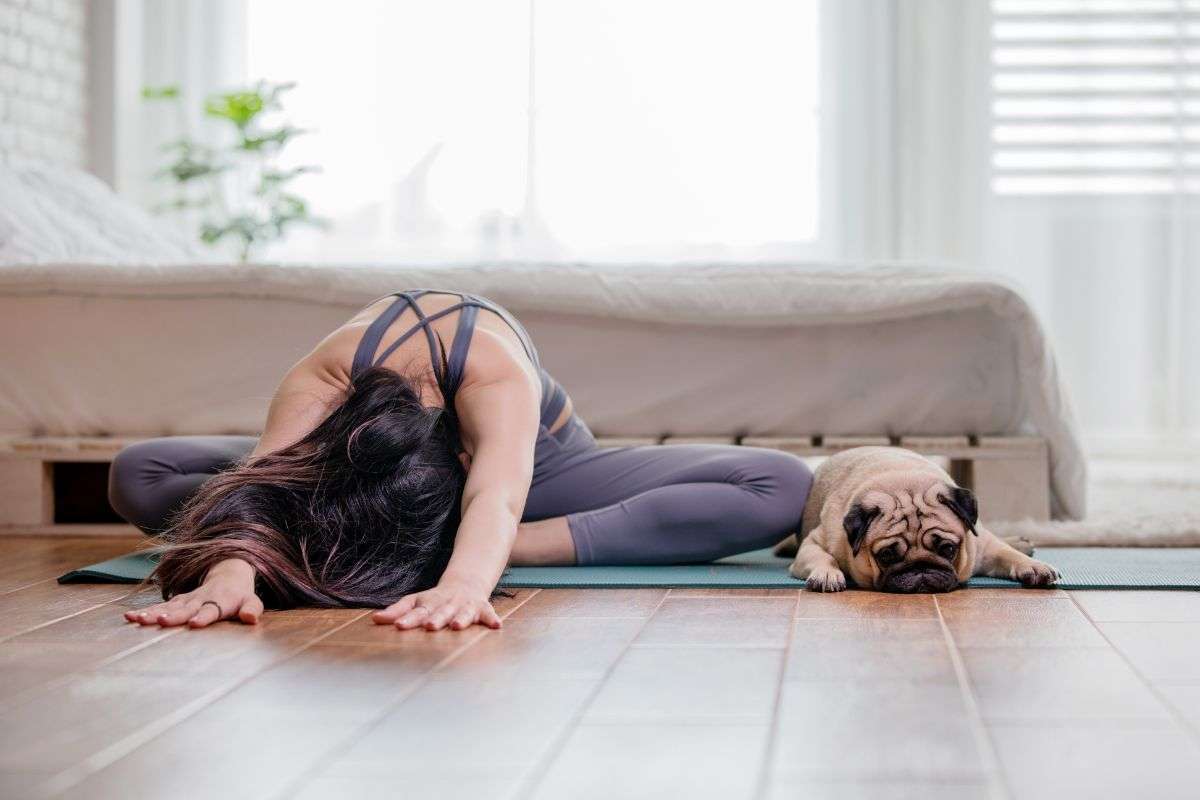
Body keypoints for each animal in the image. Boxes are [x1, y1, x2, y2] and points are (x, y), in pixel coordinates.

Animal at [772, 443, 1056, 594]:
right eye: (886, 555)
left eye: (948, 549)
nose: (920, 568)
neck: (903, 480)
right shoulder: (814, 543)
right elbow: (824, 557)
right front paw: (828, 574)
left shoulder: (980, 546)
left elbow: (1006, 554)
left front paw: (1033, 566)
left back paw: (1020, 542)